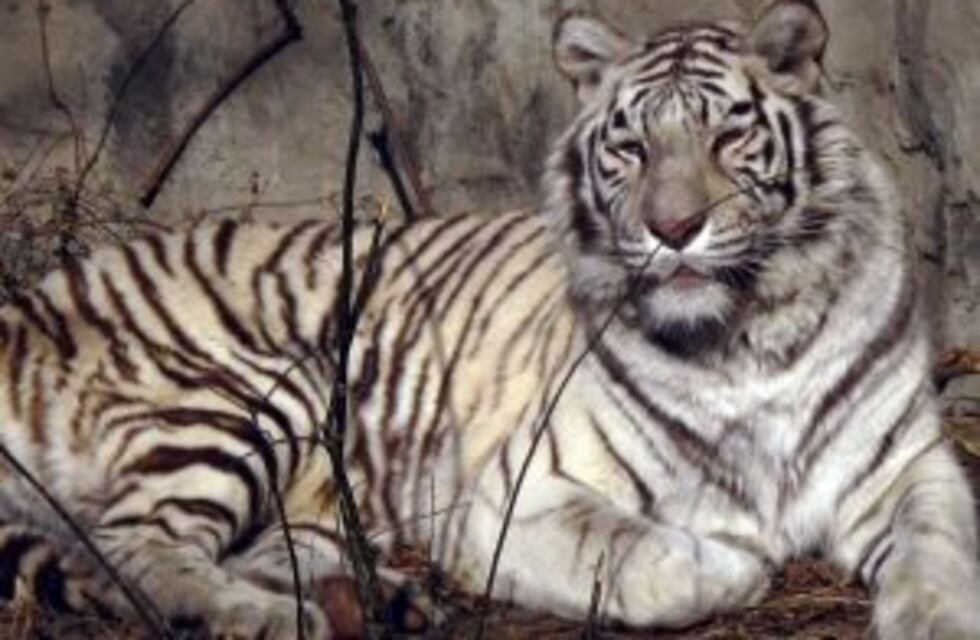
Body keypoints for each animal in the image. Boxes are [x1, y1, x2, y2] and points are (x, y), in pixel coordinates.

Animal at [0, 0, 977, 637]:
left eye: (727, 136)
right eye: (631, 147)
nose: (672, 229)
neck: (747, 336)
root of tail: (33, 297)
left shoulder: (908, 465)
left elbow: (940, 546)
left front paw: (938, 617)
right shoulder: (517, 494)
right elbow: (647, 561)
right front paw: (739, 557)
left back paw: (384, 600)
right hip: (250, 389)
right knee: (133, 546)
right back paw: (265, 617)